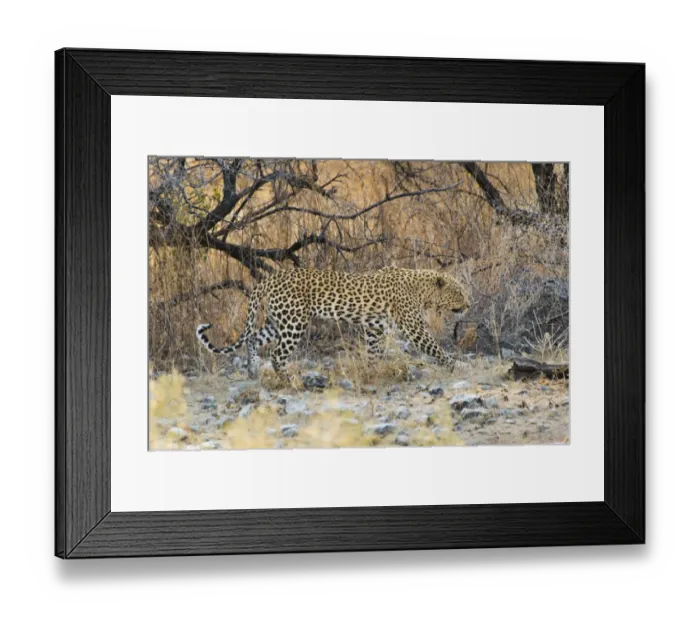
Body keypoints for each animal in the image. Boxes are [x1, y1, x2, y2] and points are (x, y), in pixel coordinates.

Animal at [196, 266, 469, 381]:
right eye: (459, 292)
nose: (468, 305)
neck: (422, 289)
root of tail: (270, 278)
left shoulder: (375, 328)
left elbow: (374, 352)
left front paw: (371, 371)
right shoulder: (413, 327)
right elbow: (434, 347)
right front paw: (455, 366)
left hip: (278, 320)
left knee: (253, 338)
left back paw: (253, 371)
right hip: (294, 322)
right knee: (276, 355)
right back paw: (291, 381)